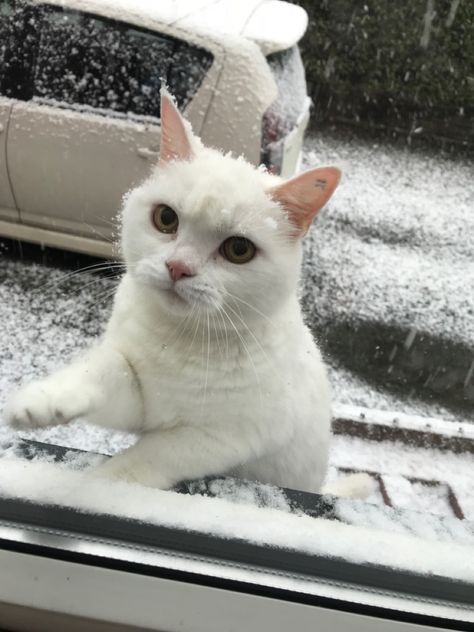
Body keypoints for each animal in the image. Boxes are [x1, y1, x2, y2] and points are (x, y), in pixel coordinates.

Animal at [7, 90, 340, 494]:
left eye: (239, 249)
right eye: (165, 218)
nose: (178, 267)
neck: (178, 340)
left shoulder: (227, 436)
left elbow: (150, 456)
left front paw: (104, 484)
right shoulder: (139, 396)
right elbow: (103, 369)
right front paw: (43, 399)